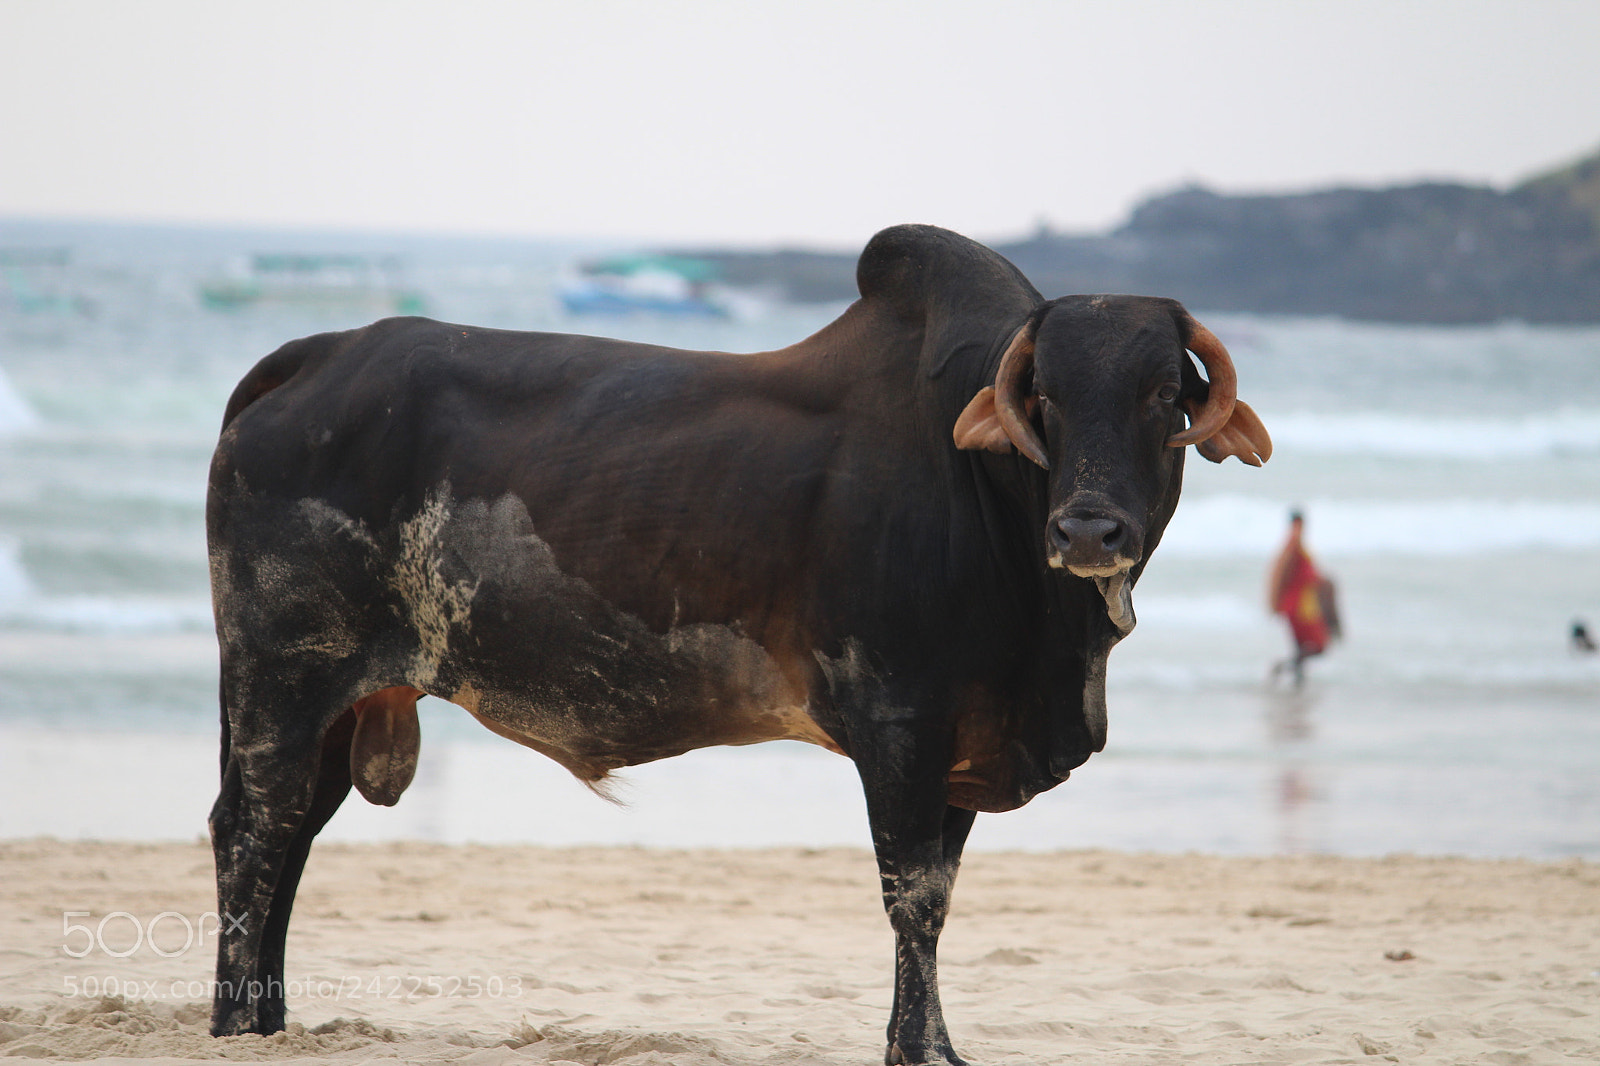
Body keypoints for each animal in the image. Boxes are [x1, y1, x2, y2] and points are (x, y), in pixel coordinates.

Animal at [206, 223, 1270, 1064]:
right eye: (1045, 393)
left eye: (1163, 393)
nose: (1089, 529)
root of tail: (311, 357)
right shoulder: (901, 729)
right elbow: (914, 898)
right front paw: (919, 1050)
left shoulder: (964, 750)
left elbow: (940, 893)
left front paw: (926, 1045)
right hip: (283, 677)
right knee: (254, 831)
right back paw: (233, 1025)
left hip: (334, 704)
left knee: (289, 834)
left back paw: (267, 1023)